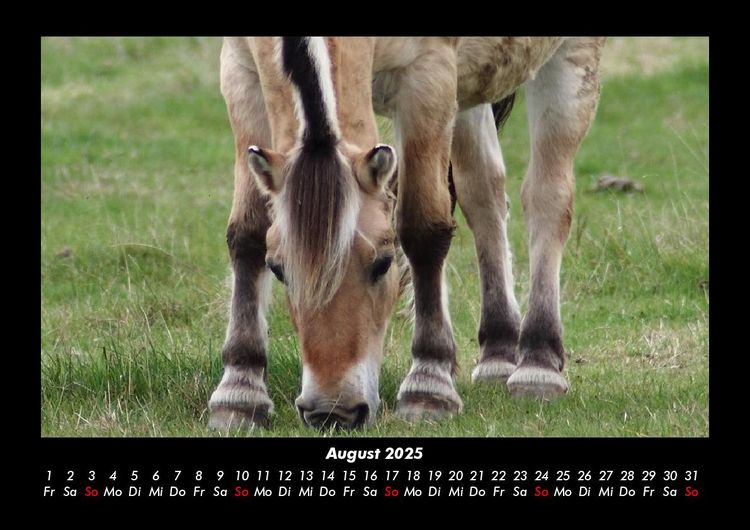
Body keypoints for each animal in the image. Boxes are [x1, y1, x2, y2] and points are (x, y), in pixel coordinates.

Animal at [208, 37, 605, 430]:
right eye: (278, 270)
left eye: (383, 263)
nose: (332, 412)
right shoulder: (240, 74)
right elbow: (248, 234)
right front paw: (239, 392)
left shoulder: (429, 77)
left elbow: (423, 230)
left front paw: (428, 385)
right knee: (483, 192)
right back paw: (498, 352)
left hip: (571, 62)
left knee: (546, 199)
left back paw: (538, 364)